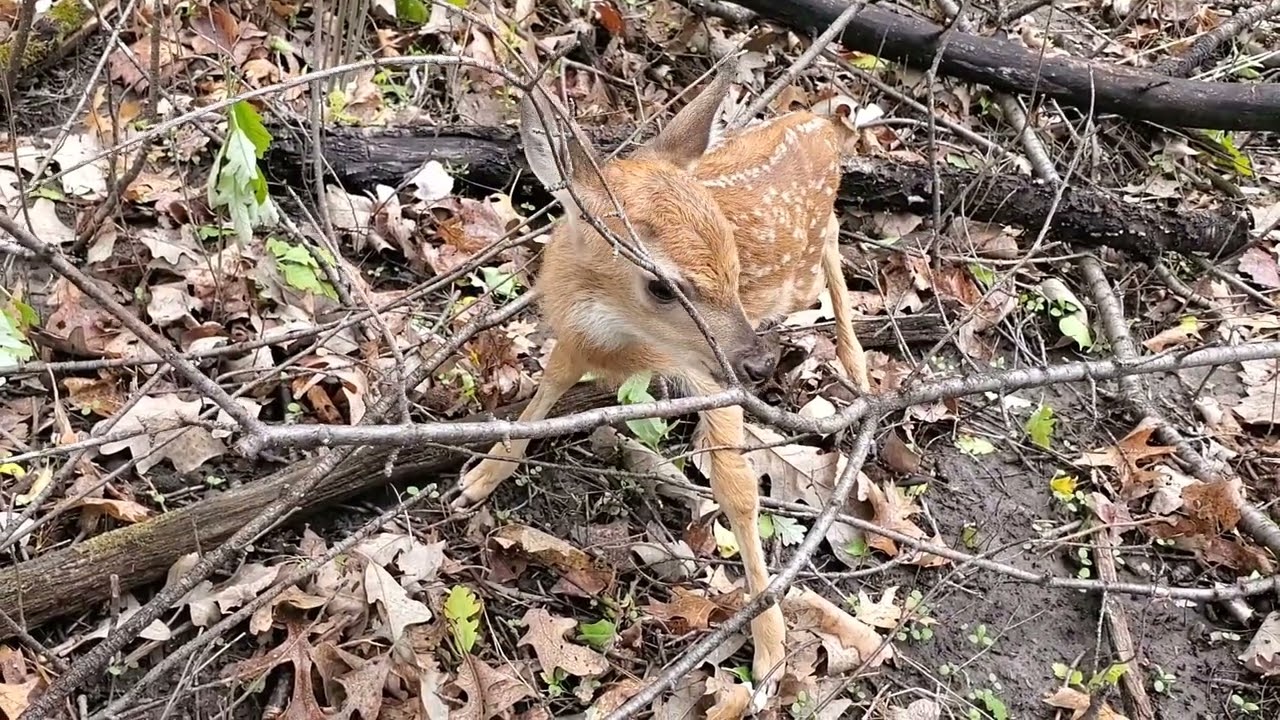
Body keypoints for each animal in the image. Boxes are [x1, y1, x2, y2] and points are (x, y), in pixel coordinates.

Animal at [451, 58, 871, 704]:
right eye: (662, 286)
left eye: (732, 264)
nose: (758, 366)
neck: (617, 335)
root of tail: (824, 124)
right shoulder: (572, 339)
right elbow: (543, 394)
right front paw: (479, 480)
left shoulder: (708, 374)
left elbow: (738, 490)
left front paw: (771, 654)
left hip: (805, 270)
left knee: (831, 250)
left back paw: (858, 368)